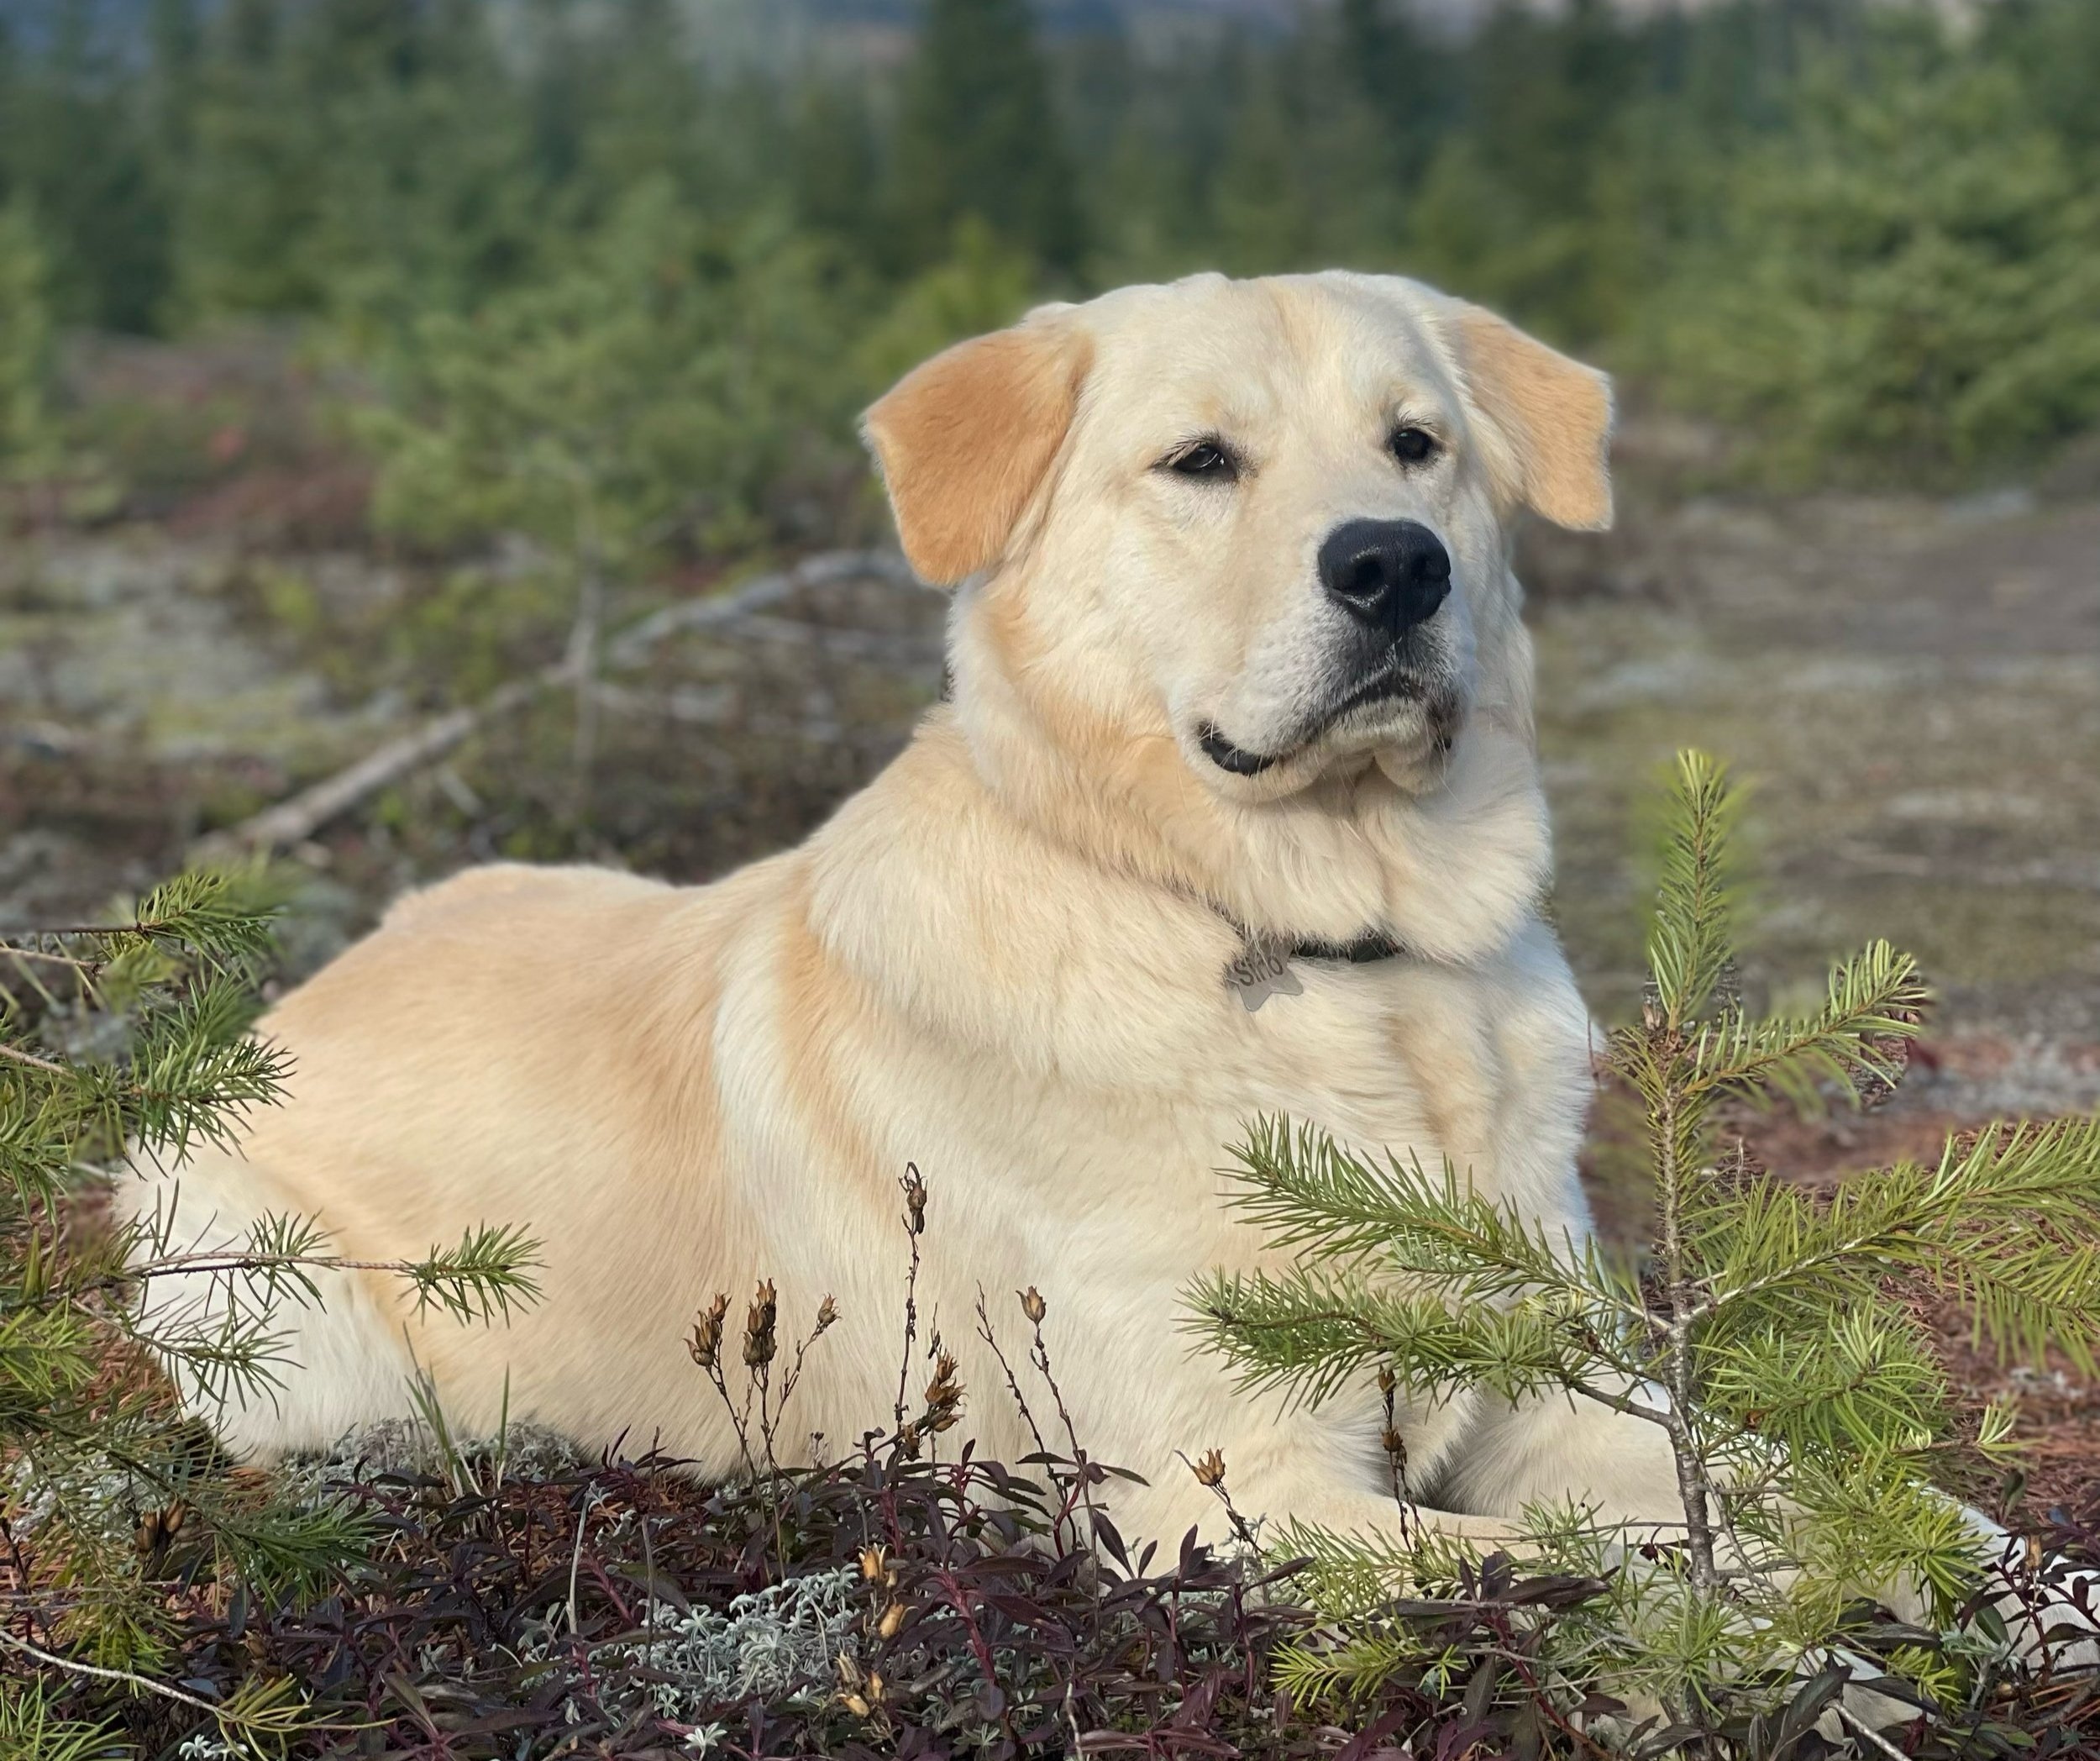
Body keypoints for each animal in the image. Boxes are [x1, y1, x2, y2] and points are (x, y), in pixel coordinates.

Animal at [131, 269, 1680, 1554]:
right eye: (1200, 461)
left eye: (1418, 444)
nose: (1397, 565)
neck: (1349, 959)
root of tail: (307, 986)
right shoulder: (1222, 1485)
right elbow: (1592, 1575)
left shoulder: (1577, 1384)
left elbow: (1711, 1504)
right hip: (286, 1317)